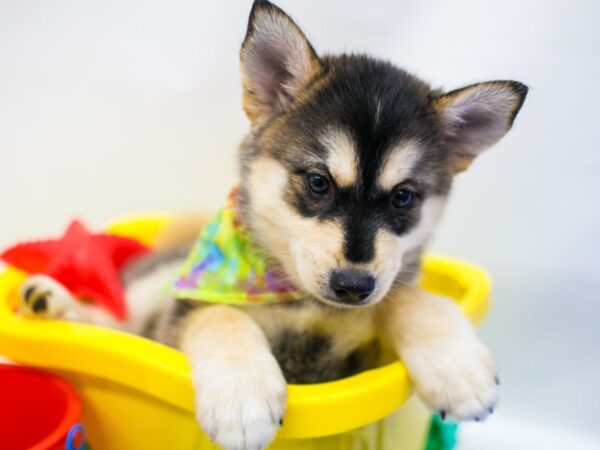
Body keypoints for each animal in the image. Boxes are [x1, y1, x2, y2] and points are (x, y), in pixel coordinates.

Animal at [19, 1, 524, 448]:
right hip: (159, 282)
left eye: (404, 197)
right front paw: (242, 396)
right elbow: (219, 314)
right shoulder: (179, 316)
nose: (353, 286)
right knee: (117, 318)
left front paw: (458, 367)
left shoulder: (367, 347)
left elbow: (405, 296)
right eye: (318, 182)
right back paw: (55, 303)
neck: (303, 304)